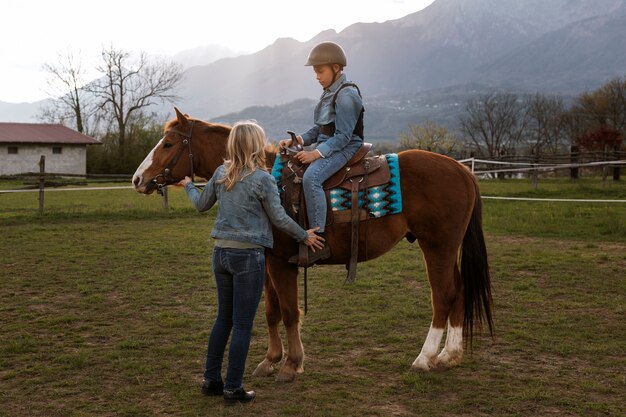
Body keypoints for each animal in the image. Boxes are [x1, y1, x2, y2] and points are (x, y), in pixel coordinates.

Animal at [132, 107, 492, 380]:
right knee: (459, 292)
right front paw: (271, 359)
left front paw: (292, 364)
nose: (138, 179)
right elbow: (271, 311)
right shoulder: (267, 261)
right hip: (447, 249)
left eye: (168, 144)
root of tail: (462, 170)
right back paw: (449, 355)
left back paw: (425, 358)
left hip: (437, 247)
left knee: (443, 296)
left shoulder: (282, 264)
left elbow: (291, 312)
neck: (263, 176)